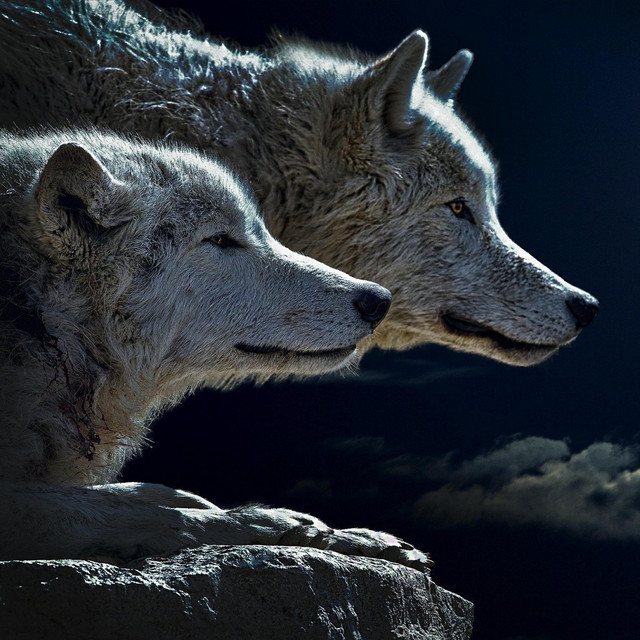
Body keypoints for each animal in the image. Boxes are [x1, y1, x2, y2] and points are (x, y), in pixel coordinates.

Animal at [0, 128, 429, 568]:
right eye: (220, 239)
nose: (379, 299)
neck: (45, 325)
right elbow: (153, 514)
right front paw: (274, 523)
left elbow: (149, 493)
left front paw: (353, 537)